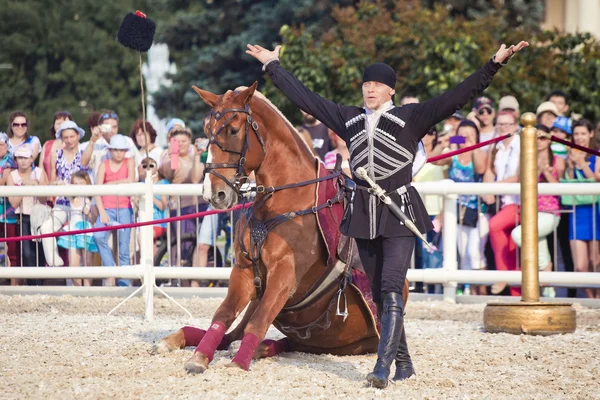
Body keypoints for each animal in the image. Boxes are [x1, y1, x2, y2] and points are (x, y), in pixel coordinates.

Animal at [152, 83, 410, 374]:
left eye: (233, 130)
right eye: (207, 131)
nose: (214, 194)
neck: (283, 202)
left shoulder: (284, 276)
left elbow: (258, 322)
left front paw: (238, 363)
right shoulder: (243, 272)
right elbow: (223, 315)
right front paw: (199, 357)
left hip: (347, 343)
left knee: (274, 340)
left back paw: (252, 349)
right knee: (238, 336)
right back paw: (177, 339)